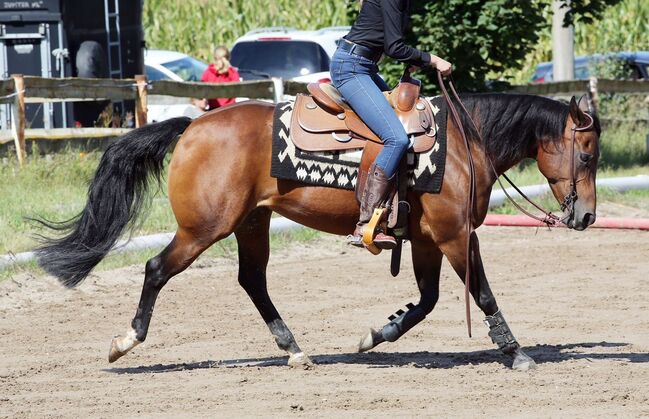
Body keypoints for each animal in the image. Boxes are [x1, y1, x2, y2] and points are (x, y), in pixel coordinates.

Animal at [35, 92, 600, 370]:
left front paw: (376, 334)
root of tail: (192, 126)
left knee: (253, 281)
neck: (463, 142)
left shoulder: (425, 240)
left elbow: (427, 301)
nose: (588, 218)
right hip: (204, 228)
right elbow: (480, 293)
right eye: (588, 154)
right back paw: (125, 342)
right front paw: (516, 352)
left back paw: (295, 350)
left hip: (251, 222)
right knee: (156, 269)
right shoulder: (456, 237)